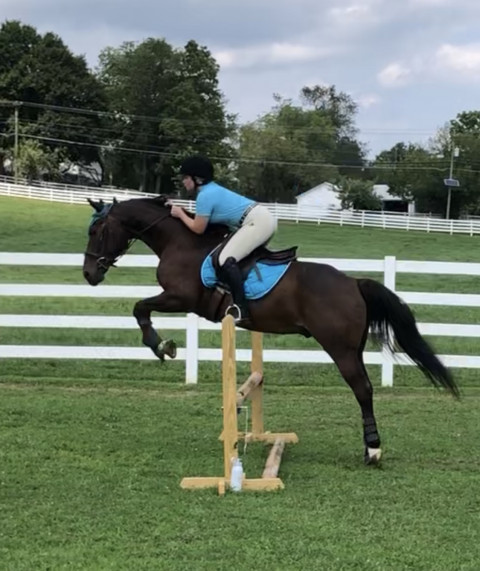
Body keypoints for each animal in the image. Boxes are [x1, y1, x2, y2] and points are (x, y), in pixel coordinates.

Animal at [83, 196, 462, 464]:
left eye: (96, 232)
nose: (89, 274)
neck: (180, 242)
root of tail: (353, 282)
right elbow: (140, 307)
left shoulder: (180, 297)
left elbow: (140, 307)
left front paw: (160, 345)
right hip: (352, 348)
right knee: (364, 387)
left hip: (339, 349)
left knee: (363, 389)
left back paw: (373, 451)